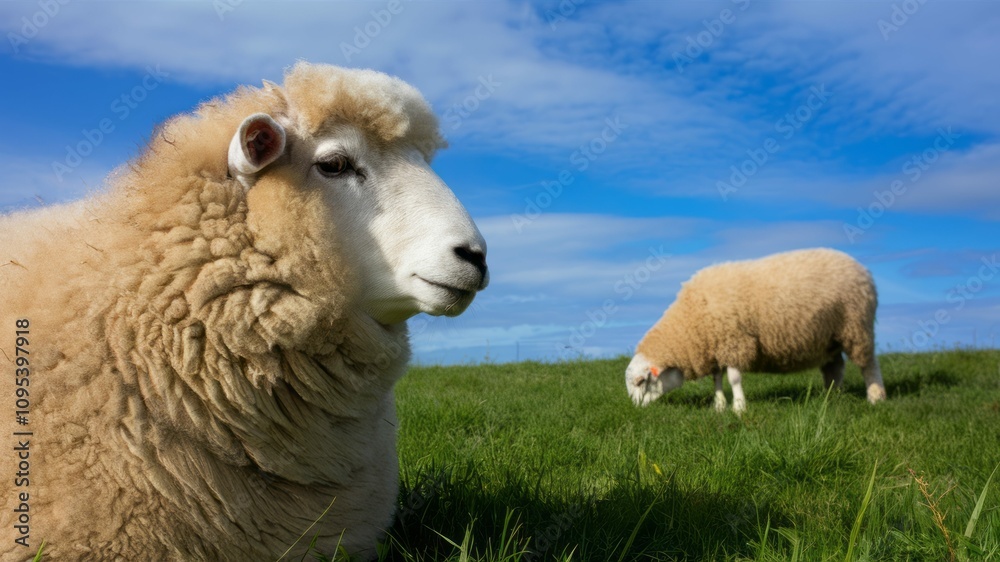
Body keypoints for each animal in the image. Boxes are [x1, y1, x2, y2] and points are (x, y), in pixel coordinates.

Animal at [626, 248, 886, 412]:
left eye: (640, 382)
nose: (635, 410)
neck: (689, 324)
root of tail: (863, 269)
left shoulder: (734, 342)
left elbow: (734, 378)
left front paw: (739, 407)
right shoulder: (717, 347)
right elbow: (717, 379)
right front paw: (719, 406)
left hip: (856, 326)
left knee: (868, 365)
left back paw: (875, 397)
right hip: (830, 338)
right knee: (835, 367)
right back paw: (832, 396)